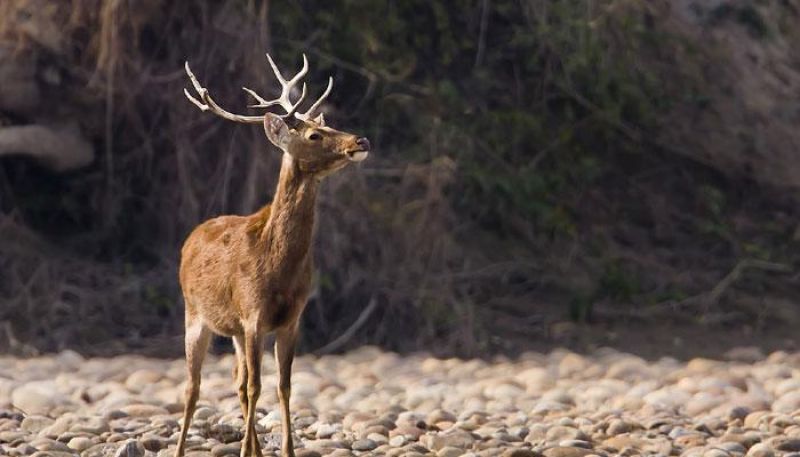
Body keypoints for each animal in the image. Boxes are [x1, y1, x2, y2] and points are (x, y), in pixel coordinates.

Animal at [177, 54, 370, 456]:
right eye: (314, 135)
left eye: (328, 124)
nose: (361, 139)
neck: (278, 267)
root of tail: (192, 235)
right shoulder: (253, 314)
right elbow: (257, 386)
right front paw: (246, 451)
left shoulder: (290, 319)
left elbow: (283, 386)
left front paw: (285, 450)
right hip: (194, 313)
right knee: (193, 387)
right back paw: (182, 448)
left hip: (233, 329)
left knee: (237, 381)